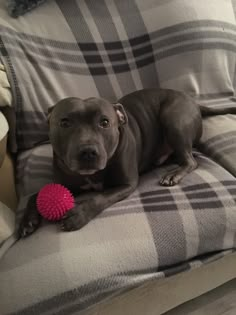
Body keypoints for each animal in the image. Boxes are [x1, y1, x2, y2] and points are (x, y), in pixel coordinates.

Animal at [18, 88, 236, 237]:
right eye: (64, 122)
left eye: (105, 122)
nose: (88, 152)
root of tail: (193, 101)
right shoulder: (64, 184)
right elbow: (34, 195)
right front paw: (28, 221)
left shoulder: (126, 184)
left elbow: (101, 197)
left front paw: (78, 214)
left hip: (174, 119)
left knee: (191, 160)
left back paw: (173, 174)